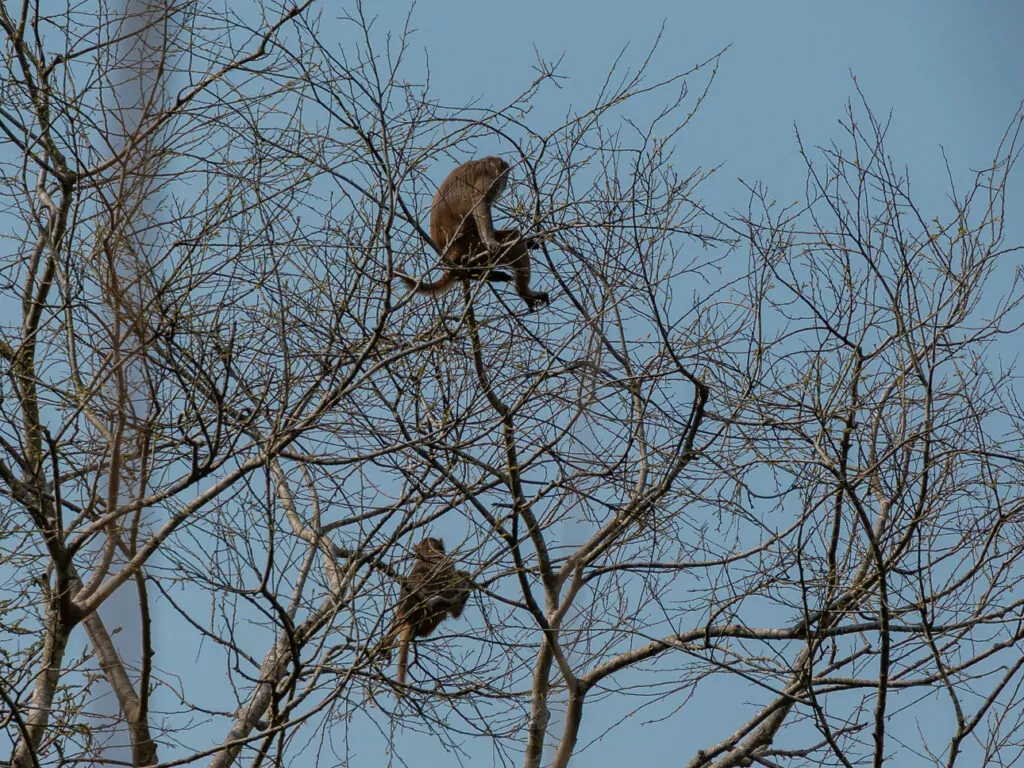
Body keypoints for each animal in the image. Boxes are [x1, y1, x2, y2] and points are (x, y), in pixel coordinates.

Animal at [400, 156, 549, 312]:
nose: (504, 183)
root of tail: (449, 252)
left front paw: (530, 242)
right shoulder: (491, 173)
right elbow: (479, 200)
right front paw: (491, 240)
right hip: (471, 245)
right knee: (513, 241)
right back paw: (523, 292)